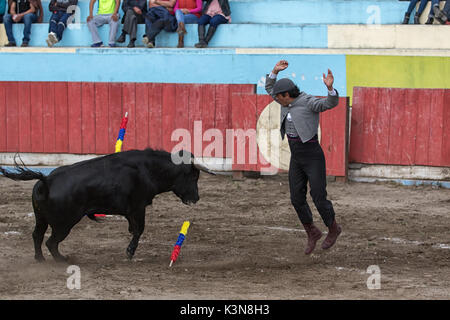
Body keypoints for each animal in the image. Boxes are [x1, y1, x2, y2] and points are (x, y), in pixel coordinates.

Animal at [0, 149, 213, 262]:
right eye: (193, 177)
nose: (196, 198)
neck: (148, 169)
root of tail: (46, 180)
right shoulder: (138, 207)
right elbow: (139, 229)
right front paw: (130, 252)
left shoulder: (130, 211)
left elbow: (133, 228)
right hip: (64, 224)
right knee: (51, 242)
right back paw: (61, 259)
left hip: (41, 219)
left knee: (37, 235)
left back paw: (40, 259)